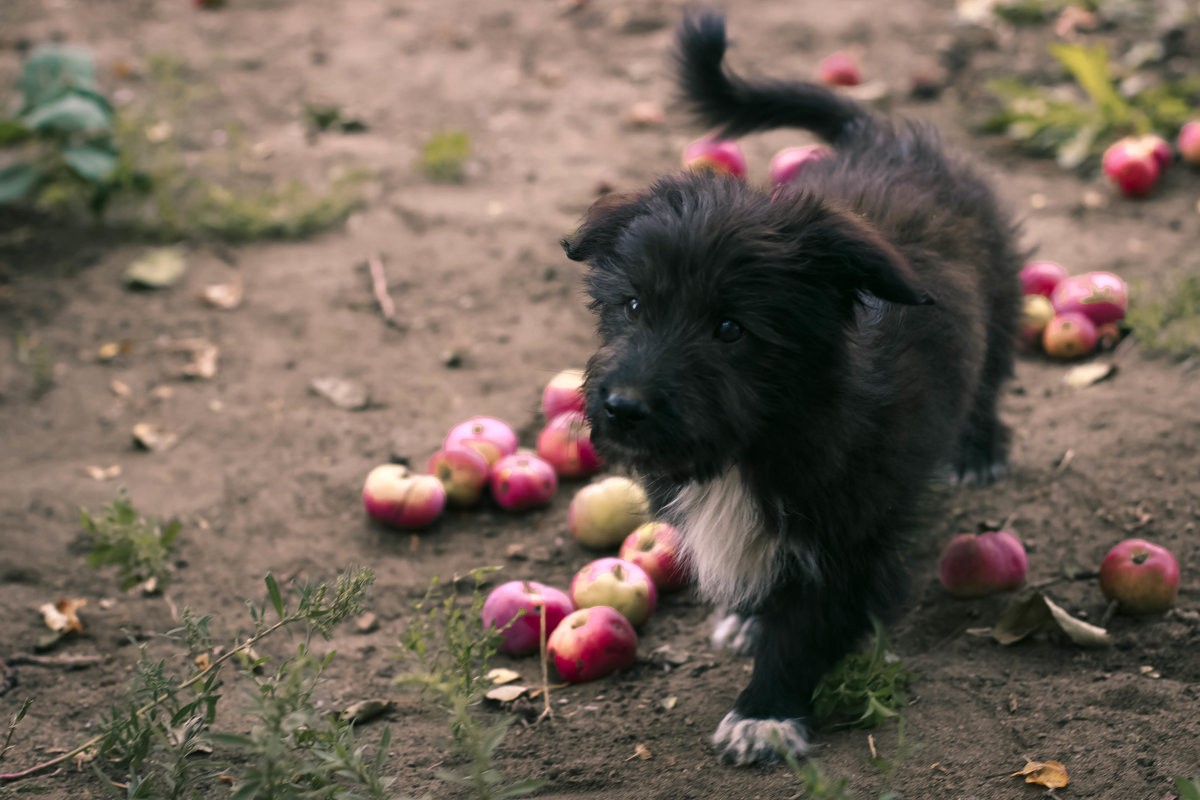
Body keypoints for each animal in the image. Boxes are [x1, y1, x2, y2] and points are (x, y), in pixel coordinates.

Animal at [561, 10, 1022, 762]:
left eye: (730, 328)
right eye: (631, 305)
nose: (623, 408)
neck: (760, 438)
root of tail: (880, 134)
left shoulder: (850, 531)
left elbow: (811, 620)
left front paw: (766, 712)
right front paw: (751, 620)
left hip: (1003, 301)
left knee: (989, 380)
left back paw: (979, 451)